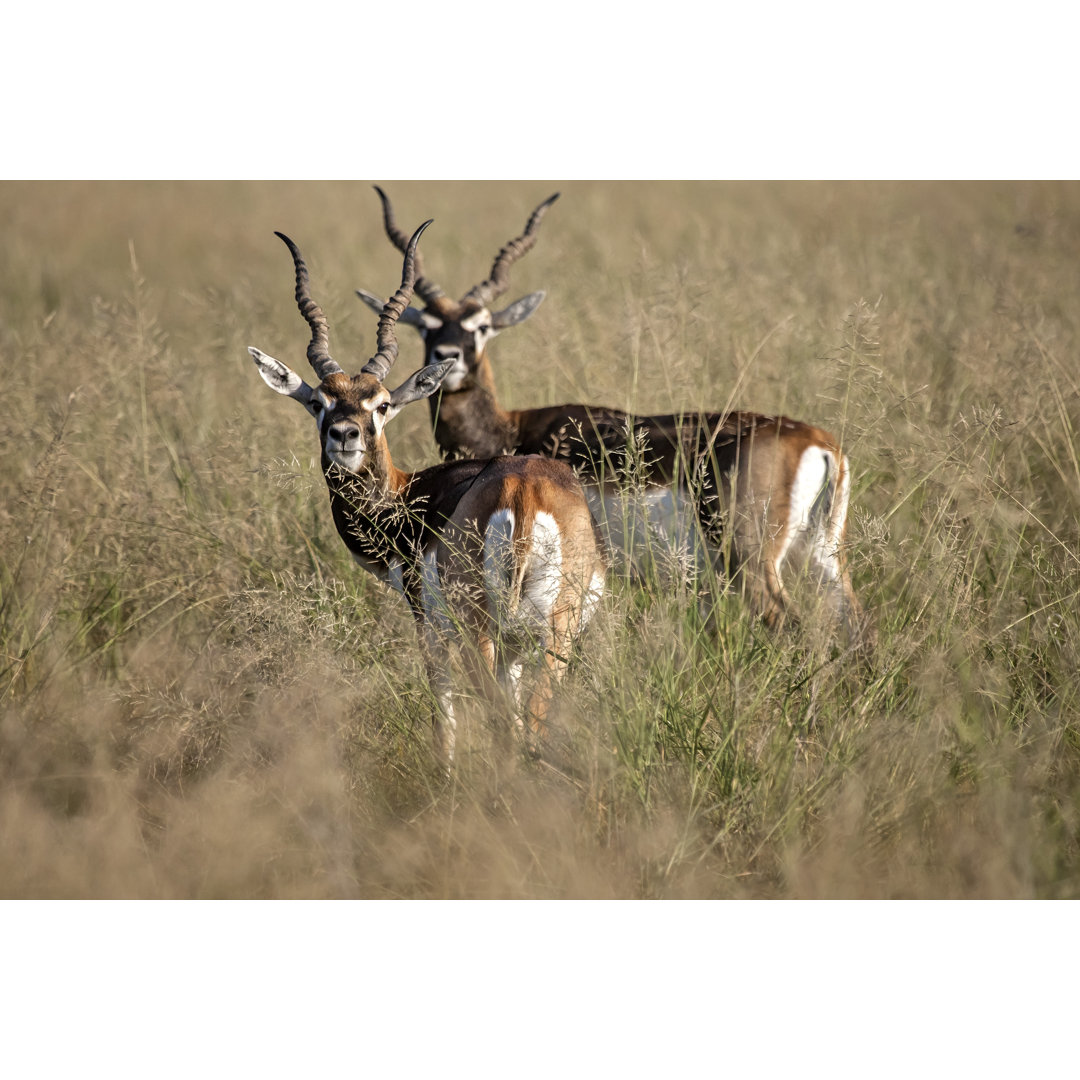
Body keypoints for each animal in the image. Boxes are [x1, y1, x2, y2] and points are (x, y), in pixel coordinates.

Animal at [248, 219, 613, 764]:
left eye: (380, 404)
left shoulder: (428, 627)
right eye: (317, 402)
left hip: (481, 631)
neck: (409, 497)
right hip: (553, 635)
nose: (345, 436)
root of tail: (523, 492)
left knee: (508, 723)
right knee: (532, 722)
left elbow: (443, 711)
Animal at [360, 187, 868, 639]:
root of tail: (819, 443)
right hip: (822, 556)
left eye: (482, 326)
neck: (512, 431)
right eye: (427, 326)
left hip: (752, 563)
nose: (449, 358)